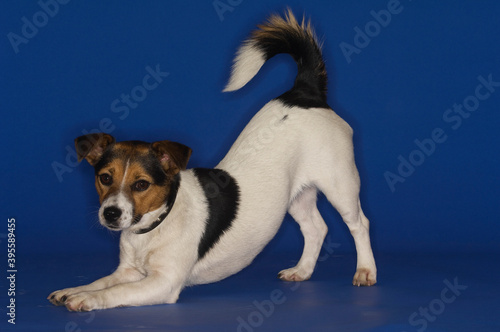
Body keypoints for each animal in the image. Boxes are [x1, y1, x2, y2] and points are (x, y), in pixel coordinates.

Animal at [47, 10, 376, 312]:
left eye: (141, 184)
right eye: (104, 178)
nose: (111, 213)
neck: (155, 224)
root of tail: (305, 92)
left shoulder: (163, 282)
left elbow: (114, 292)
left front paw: (85, 299)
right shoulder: (127, 271)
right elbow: (101, 281)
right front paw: (73, 289)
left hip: (340, 185)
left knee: (359, 224)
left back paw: (365, 271)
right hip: (295, 195)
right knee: (316, 228)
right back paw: (302, 270)